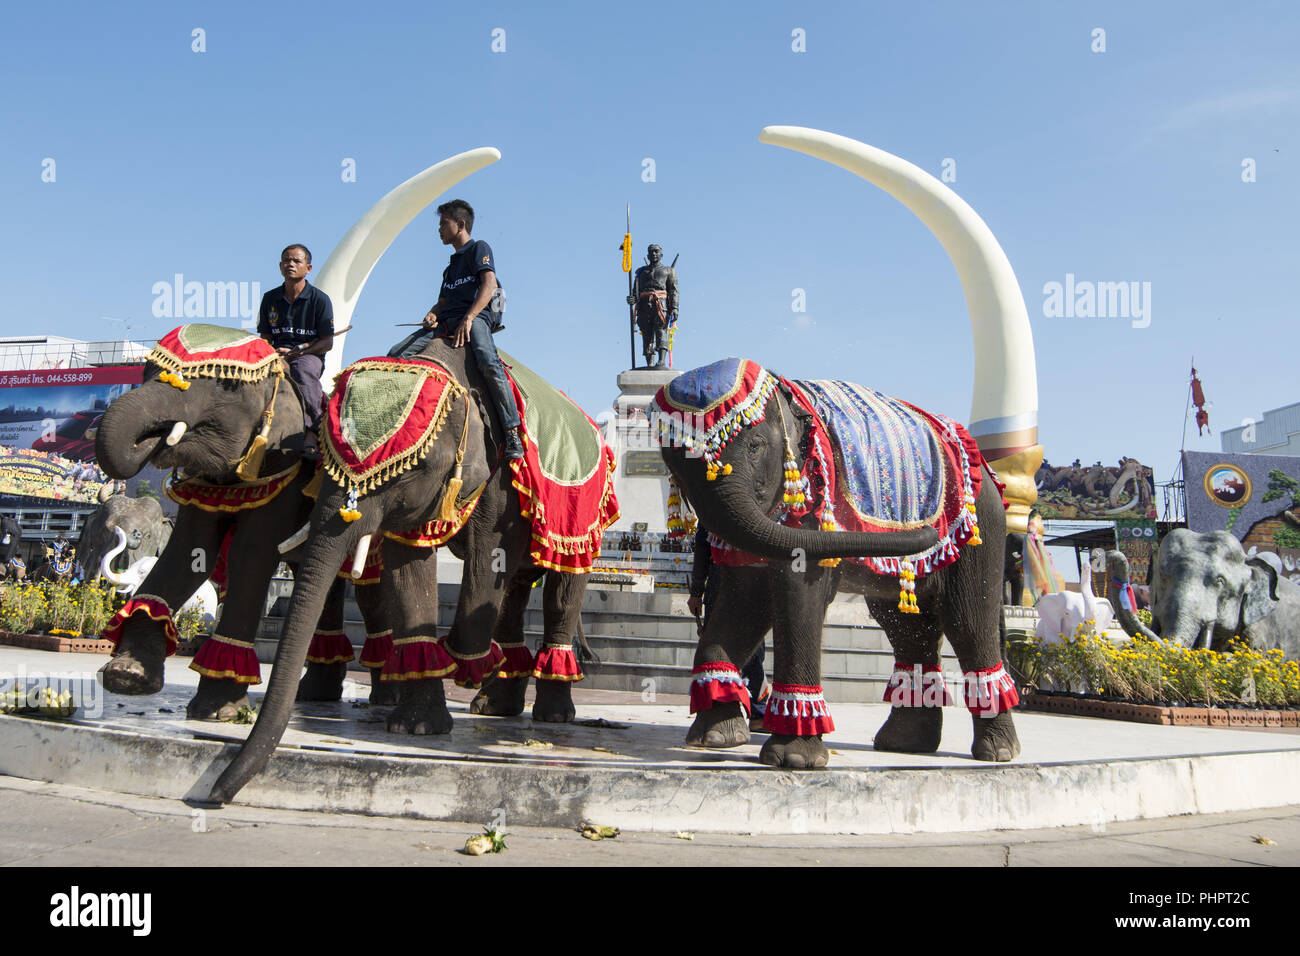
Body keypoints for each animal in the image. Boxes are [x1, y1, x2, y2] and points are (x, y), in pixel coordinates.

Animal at [94, 323, 392, 717]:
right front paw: (127, 676)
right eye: (147, 372)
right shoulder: (206, 484)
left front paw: (219, 710)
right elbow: (190, 553)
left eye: (225, 386)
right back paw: (314, 695)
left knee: (371, 593)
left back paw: (385, 699)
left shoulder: (285, 469)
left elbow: (251, 554)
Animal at [206, 340, 618, 806]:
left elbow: (488, 561)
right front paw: (417, 726)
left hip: (583, 514)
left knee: (562, 587)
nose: (215, 795)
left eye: (415, 467)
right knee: (516, 590)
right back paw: (494, 706)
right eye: (320, 457)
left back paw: (550, 715)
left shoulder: (500, 481)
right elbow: (409, 571)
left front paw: (461, 664)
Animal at [650, 358, 1013, 770]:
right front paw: (714, 739)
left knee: (966, 620)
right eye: (676, 471)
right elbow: (742, 600)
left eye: (755, 446)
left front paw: (793, 759)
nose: (926, 532)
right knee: (904, 624)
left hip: (982, 527)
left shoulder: (815, 505)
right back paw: (903, 745)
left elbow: (798, 597)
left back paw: (997, 753)